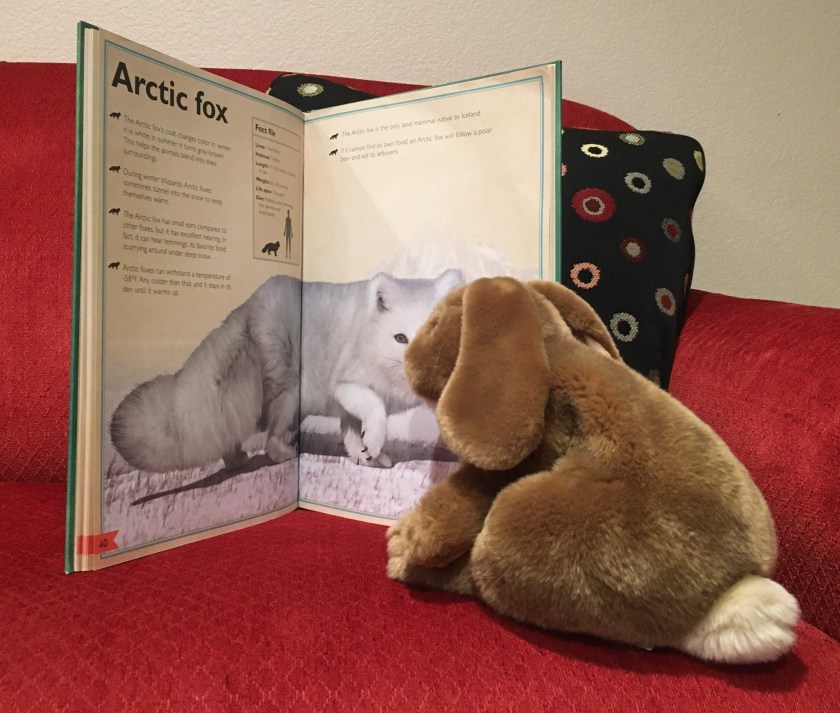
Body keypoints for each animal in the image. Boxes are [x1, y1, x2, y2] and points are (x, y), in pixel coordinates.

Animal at [110, 269, 463, 473]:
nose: (420, 367)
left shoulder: (346, 405)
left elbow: (351, 433)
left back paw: (237, 460)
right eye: (401, 338)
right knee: (271, 440)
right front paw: (373, 447)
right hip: (289, 390)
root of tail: (246, 306)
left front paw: (367, 456)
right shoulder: (345, 384)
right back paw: (287, 453)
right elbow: (374, 409)